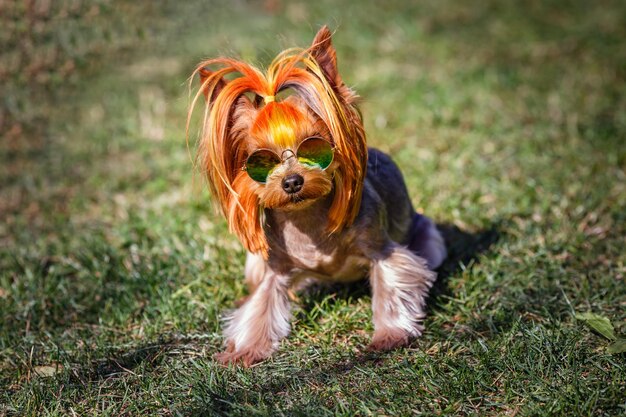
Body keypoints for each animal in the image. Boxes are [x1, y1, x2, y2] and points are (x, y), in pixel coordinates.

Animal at [188, 26, 446, 364]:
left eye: (313, 146)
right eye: (261, 160)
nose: (291, 182)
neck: (305, 218)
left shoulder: (381, 249)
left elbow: (391, 284)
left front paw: (390, 336)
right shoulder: (275, 269)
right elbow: (261, 306)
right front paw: (244, 351)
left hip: (430, 238)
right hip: (254, 263)